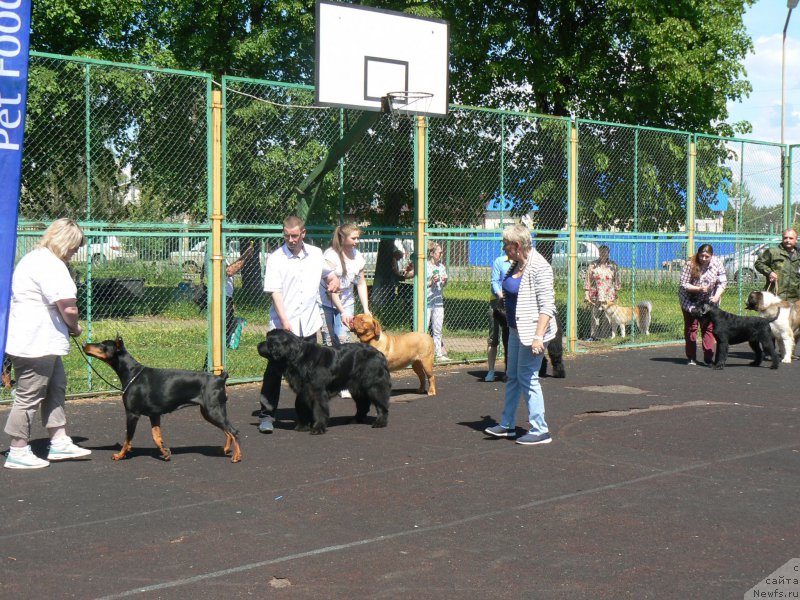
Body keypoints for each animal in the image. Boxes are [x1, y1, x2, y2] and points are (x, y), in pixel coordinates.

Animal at [258, 328, 392, 436]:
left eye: (268, 341)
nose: (258, 345)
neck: (298, 357)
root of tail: (379, 353)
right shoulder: (303, 392)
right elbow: (301, 407)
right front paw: (303, 426)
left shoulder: (318, 391)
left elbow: (319, 410)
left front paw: (318, 428)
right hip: (357, 388)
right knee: (363, 404)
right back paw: (355, 419)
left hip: (374, 386)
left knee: (381, 405)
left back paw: (380, 422)